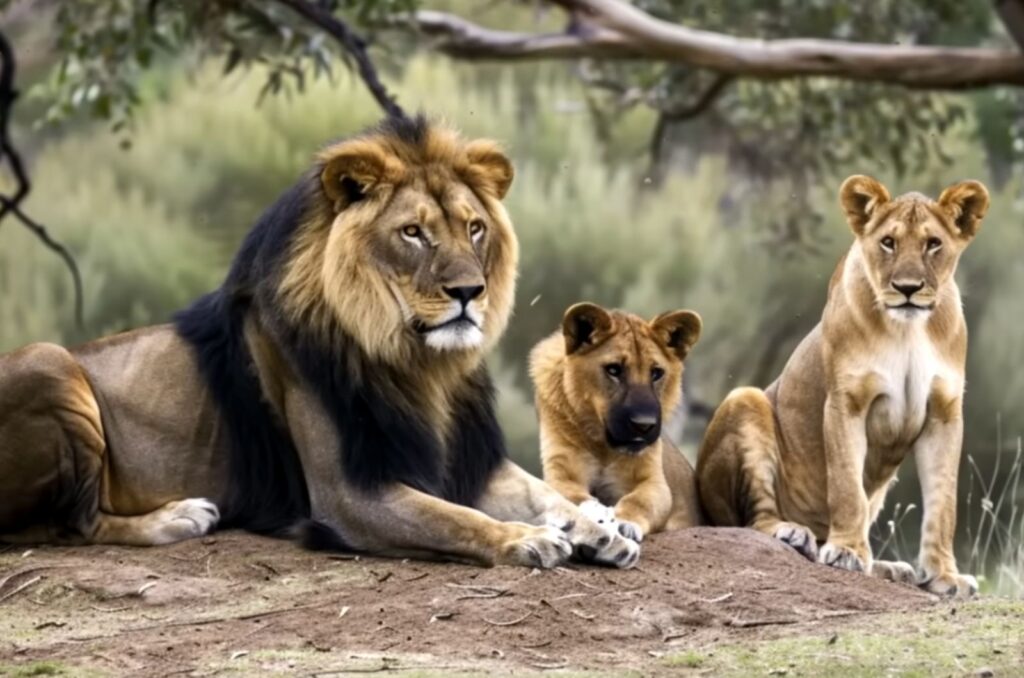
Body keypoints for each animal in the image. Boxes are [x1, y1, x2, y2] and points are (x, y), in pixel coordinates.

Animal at [0, 118, 638, 573]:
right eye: (413, 232)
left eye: (474, 227)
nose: (468, 292)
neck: (416, 364)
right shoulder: (347, 495)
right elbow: (455, 519)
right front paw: (527, 540)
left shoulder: (469, 459)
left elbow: (545, 495)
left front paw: (601, 529)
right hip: (48, 360)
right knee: (75, 524)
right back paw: (179, 518)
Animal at [528, 303, 704, 540]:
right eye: (613, 370)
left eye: (656, 373)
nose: (643, 424)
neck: (603, 445)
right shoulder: (562, 473)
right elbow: (573, 497)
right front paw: (593, 512)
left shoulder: (653, 481)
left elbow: (638, 501)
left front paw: (624, 523)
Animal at [700, 174, 987, 594]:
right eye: (888, 242)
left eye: (933, 243)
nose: (907, 288)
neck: (908, 329)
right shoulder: (846, 402)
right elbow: (847, 485)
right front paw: (847, 552)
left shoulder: (945, 413)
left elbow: (943, 503)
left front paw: (943, 576)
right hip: (744, 399)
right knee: (754, 520)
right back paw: (795, 534)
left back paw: (890, 567)